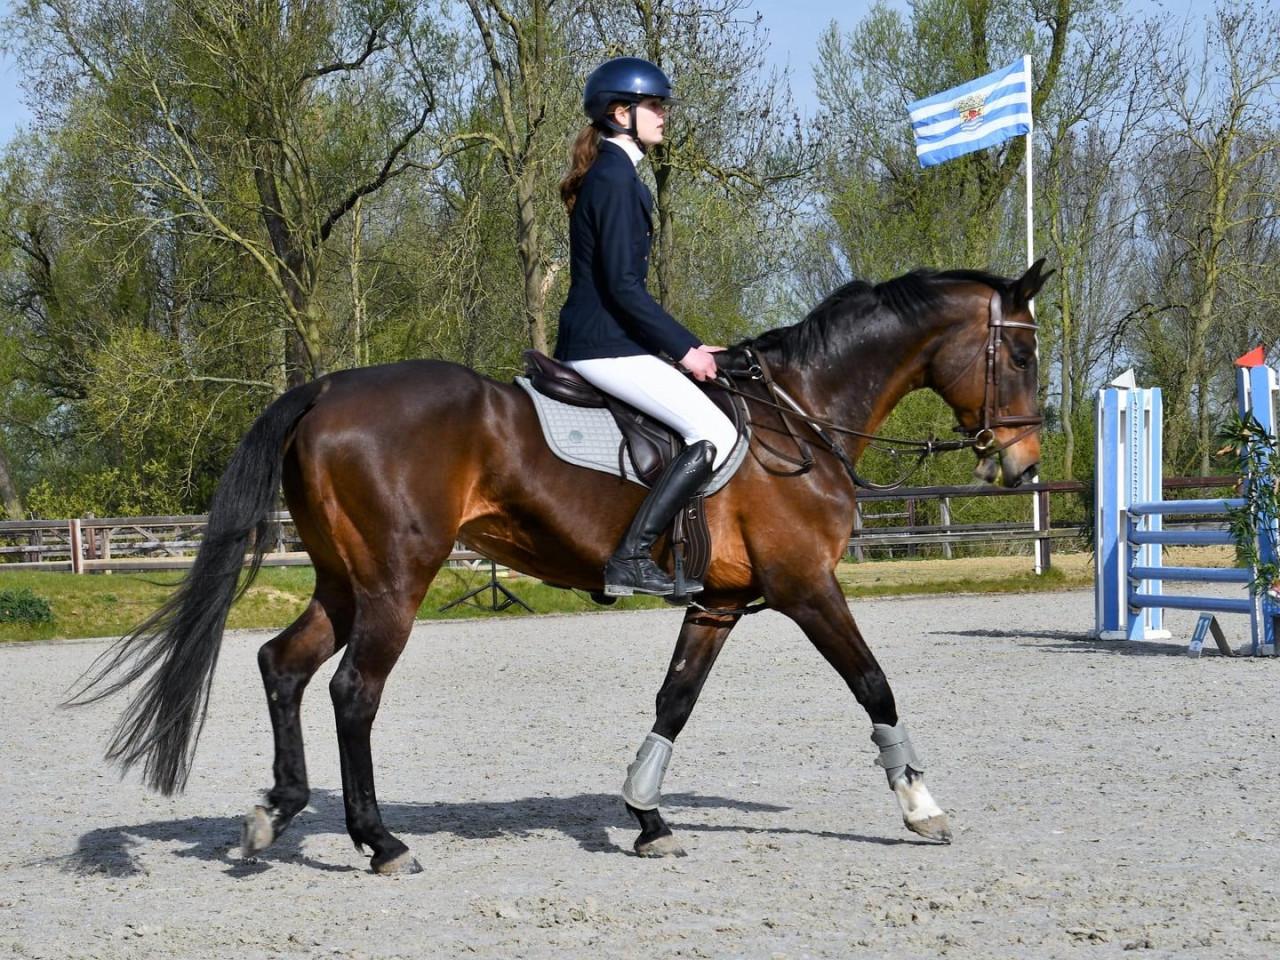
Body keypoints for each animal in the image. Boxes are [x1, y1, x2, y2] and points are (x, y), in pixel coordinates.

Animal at [73, 259, 1050, 874]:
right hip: (395, 581)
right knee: (354, 692)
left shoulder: (718, 604)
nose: (1021, 465)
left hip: (344, 581)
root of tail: (326, 388)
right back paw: (380, 842)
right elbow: (874, 683)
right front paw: (920, 806)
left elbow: (674, 702)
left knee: (283, 664)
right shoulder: (808, 589)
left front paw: (648, 818)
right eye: (1023, 351)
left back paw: (275, 811)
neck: (802, 416)